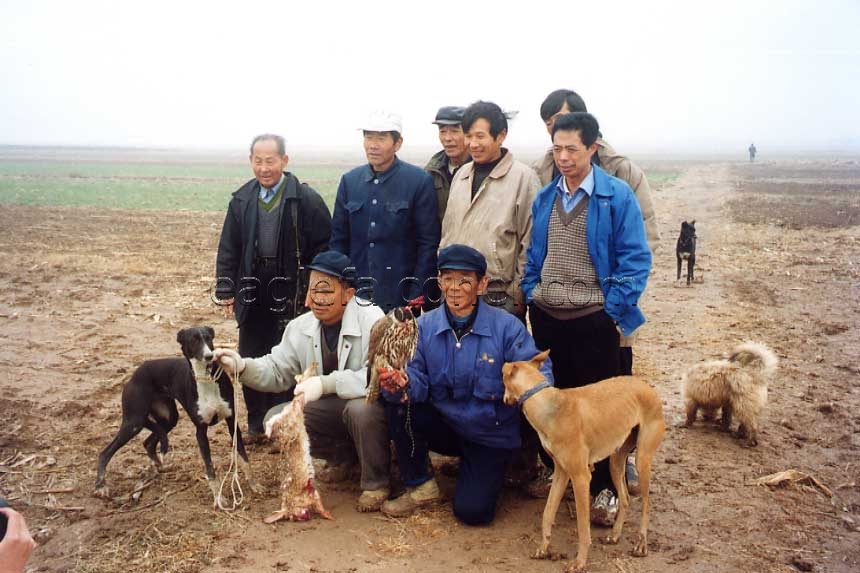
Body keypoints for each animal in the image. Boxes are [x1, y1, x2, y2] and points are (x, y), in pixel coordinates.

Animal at [98, 326, 252, 504]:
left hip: (169, 419)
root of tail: (134, 375)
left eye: (208, 338)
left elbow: (243, 455)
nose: (209, 356)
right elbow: (210, 468)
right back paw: (100, 486)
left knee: (148, 443)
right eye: (193, 340)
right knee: (105, 453)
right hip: (134, 421)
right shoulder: (200, 432)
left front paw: (255, 485)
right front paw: (219, 498)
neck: (205, 378)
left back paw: (159, 466)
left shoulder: (232, 421)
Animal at [504, 348, 664, 572]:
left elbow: (582, 528)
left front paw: (579, 562)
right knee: (625, 498)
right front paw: (543, 548)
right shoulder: (561, 473)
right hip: (615, 462)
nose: (504, 400)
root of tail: (647, 386)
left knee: (646, 506)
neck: (550, 406)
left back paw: (641, 544)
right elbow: (547, 513)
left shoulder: (581, 477)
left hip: (642, 459)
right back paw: (614, 535)